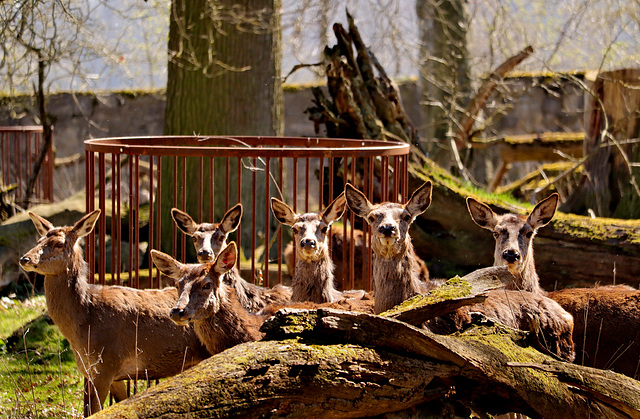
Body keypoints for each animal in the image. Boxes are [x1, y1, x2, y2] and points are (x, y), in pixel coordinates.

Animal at [19, 210, 210, 416]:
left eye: (59, 243)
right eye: (39, 240)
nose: (25, 259)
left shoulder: (106, 363)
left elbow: (94, 411)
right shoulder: (103, 373)